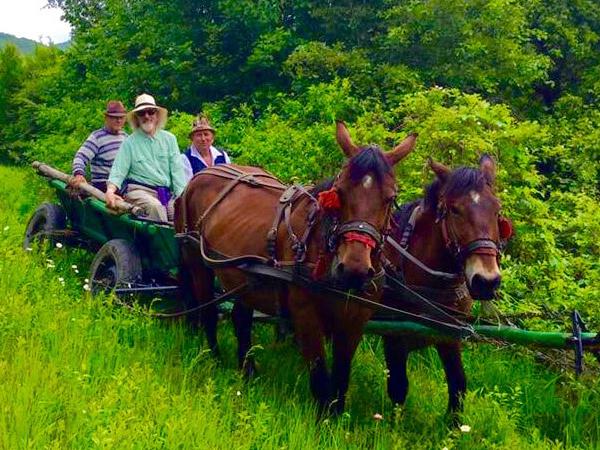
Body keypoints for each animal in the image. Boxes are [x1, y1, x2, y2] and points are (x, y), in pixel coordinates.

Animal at [175, 121, 418, 416]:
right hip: (196, 260)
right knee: (208, 311)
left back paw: (248, 370)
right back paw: (215, 358)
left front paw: (337, 416)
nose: (354, 269)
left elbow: (342, 374)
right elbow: (320, 375)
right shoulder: (306, 316)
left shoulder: (355, 320)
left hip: (243, 274)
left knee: (241, 317)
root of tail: (201, 175)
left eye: (390, 197)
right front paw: (323, 419)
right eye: (340, 192)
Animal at [382, 155, 508, 414]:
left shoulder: (450, 335)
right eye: (454, 210)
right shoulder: (393, 336)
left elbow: (458, 385)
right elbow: (398, 386)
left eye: (497, 210)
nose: (486, 281)